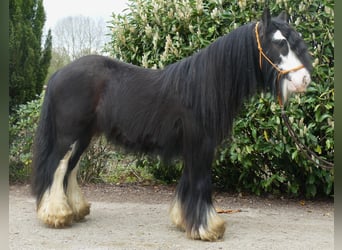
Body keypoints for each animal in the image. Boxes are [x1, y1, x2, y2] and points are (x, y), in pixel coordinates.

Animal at [32, 8, 312, 241]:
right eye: (280, 42)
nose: (305, 80)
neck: (205, 86)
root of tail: (58, 74)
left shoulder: (194, 145)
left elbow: (187, 181)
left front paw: (183, 220)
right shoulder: (200, 143)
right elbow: (200, 183)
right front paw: (208, 228)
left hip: (84, 136)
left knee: (70, 169)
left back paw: (75, 210)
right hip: (68, 135)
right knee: (58, 168)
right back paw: (56, 215)